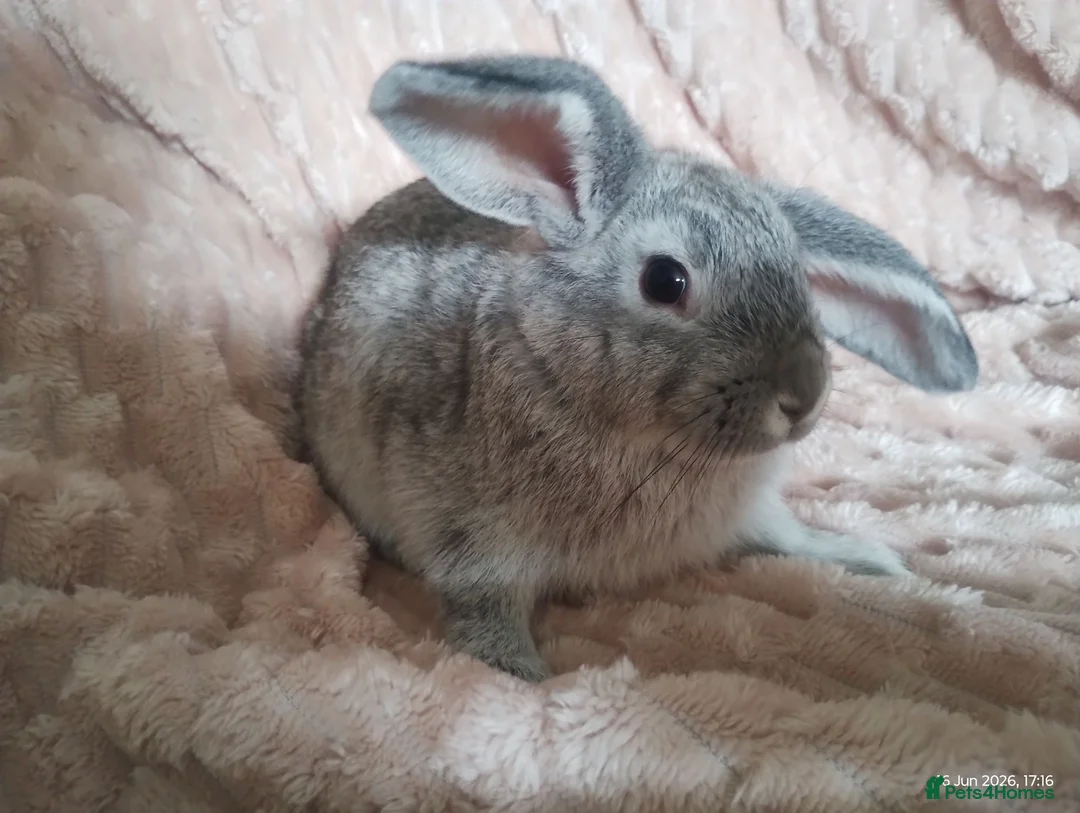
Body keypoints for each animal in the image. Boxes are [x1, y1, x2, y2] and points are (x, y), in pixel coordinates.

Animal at [298, 55, 979, 683]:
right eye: (665, 281)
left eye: (801, 279)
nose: (803, 396)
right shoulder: (470, 542)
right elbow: (482, 607)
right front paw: (521, 673)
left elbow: (789, 538)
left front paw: (869, 559)